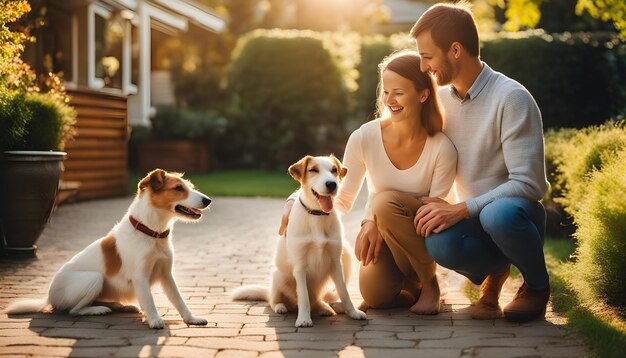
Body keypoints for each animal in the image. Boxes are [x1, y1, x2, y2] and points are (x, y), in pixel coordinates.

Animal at [1, 169, 212, 328]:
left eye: (190, 187)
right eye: (178, 188)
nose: (208, 200)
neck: (152, 233)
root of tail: (48, 298)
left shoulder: (166, 275)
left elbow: (179, 300)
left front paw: (191, 319)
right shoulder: (140, 277)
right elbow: (149, 301)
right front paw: (154, 320)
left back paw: (121, 306)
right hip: (93, 279)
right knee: (73, 310)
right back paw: (97, 310)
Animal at [232, 155, 364, 328]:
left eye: (334, 170)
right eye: (313, 170)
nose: (332, 184)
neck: (317, 214)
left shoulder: (336, 262)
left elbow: (344, 291)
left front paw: (353, 312)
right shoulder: (300, 266)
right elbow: (303, 295)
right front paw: (303, 319)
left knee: (316, 301)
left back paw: (325, 307)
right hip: (279, 276)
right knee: (274, 301)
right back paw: (281, 307)